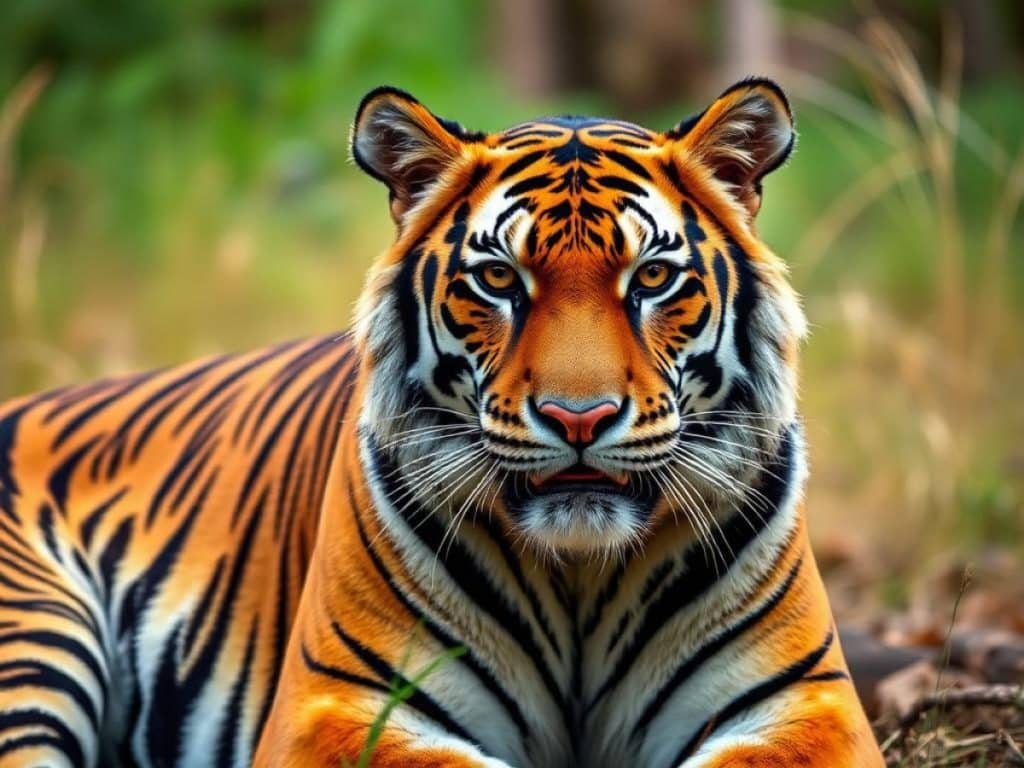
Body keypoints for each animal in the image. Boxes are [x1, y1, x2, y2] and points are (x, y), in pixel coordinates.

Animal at [0, 78, 882, 767]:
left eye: (654, 278)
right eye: (499, 280)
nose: (580, 417)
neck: (580, 578)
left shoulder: (807, 704)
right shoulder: (338, 708)